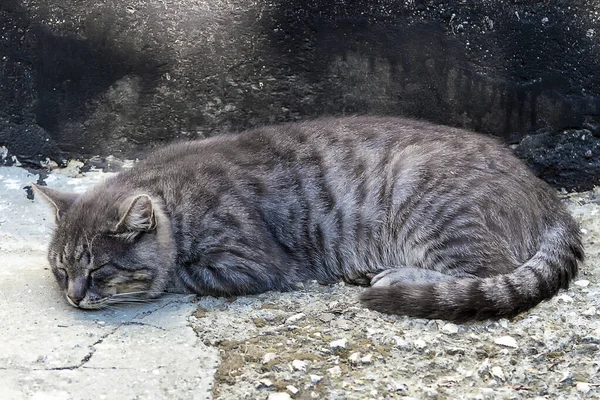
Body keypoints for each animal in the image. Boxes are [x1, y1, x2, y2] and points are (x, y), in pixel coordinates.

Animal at [35, 116, 584, 322]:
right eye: (61, 269)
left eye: (99, 270)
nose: (74, 295)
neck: (175, 199)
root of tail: (546, 194)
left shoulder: (250, 264)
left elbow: (174, 275)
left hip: (433, 203)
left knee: (484, 272)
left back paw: (391, 275)